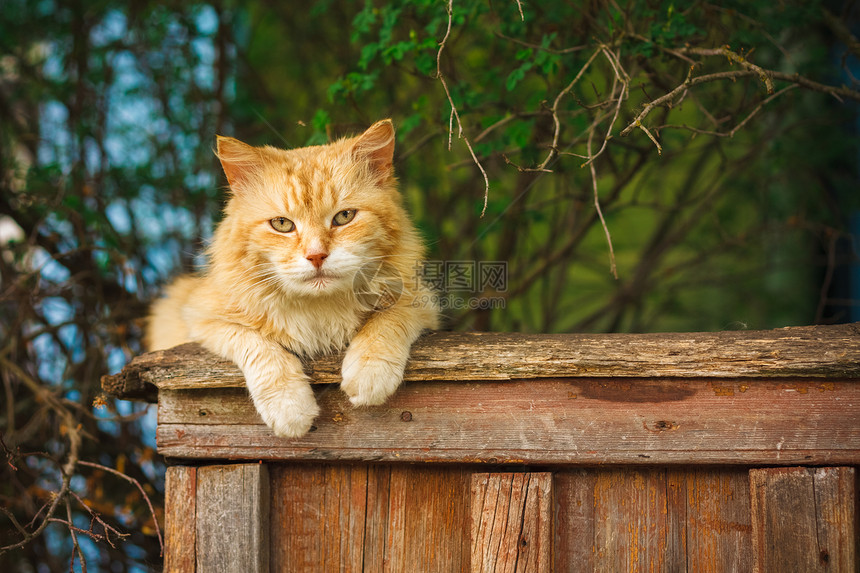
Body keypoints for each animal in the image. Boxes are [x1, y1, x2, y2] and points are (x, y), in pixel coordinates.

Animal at [146, 119, 436, 434]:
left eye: (344, 217)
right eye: (282, 224)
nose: (316, 256)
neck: (318, 309)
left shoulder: (421, 301)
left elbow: (386, 322)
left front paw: (370, 372)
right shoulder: (199, 317)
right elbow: (258, 345)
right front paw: (289, 408)